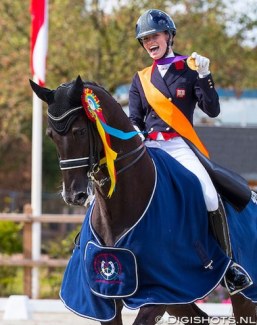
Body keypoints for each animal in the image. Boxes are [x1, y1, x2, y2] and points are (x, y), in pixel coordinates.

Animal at [30, 76, 256, 324]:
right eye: (51, 135)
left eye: (79, 131)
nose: (74, 195)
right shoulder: (104, 297)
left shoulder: (159, 292)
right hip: (181, 300)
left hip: (240, 296)